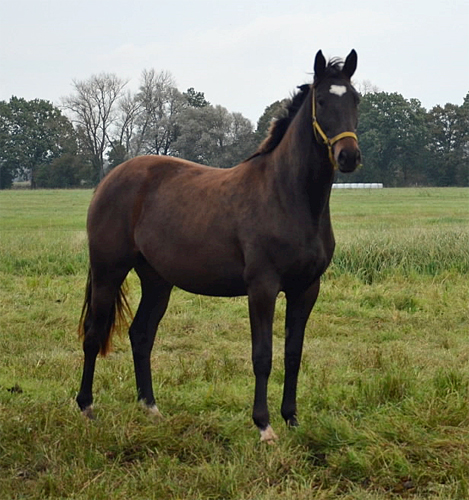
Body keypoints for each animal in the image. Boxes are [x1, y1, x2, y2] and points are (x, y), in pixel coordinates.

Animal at [77, 49, 362, 442]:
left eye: (355, 100)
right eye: (321, 100)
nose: (349, 156)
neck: (289, 196)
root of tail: (110, 179)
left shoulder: (306, 288)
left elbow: (293, 353)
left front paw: (291, 419)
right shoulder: (262, 288)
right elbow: (263, 356)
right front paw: (264, 426)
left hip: (157, 280)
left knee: (141, 335)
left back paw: (150, 407)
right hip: (109, 271)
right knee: (93, 334)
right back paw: (86, 407)